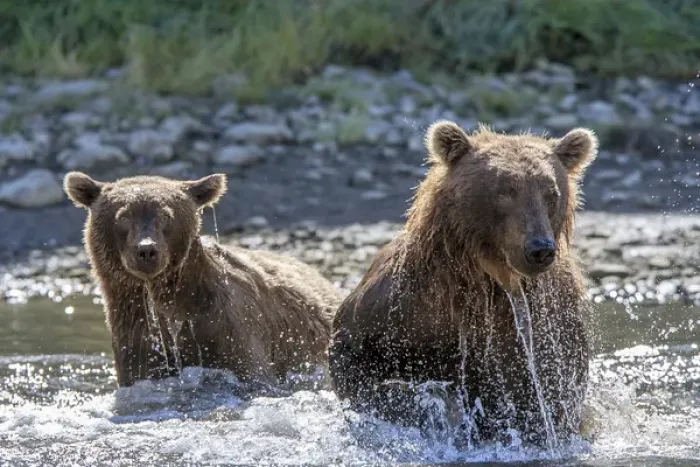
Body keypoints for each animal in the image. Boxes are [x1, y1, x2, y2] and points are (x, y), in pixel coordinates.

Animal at [63, 171, 343, 389]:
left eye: (165, 215)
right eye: (123, 217)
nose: (146, 250)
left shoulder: (229, 326)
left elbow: (250, 370)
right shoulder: (137, 335)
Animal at [329, 120, 598, 447]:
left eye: (551, 192)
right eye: (505, 190)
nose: (539, 248)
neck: (488, 279)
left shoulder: (546, 324)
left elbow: (543, 395)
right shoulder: (403, 304)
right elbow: (355, 357)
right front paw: (428, 407)